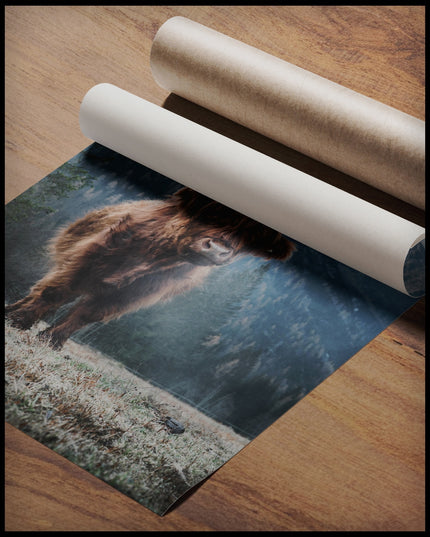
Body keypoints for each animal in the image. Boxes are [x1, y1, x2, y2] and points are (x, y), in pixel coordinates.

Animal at [5, 187, 296, 348]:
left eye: (249, 241)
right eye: (214, 214)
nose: (219, 250)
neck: (156, 254)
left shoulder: (131, 295)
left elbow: (86, 316)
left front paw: (51, 341)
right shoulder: (87, 260)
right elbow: (56, 292)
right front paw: (20, 321)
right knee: (44, 289)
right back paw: (11, 311)